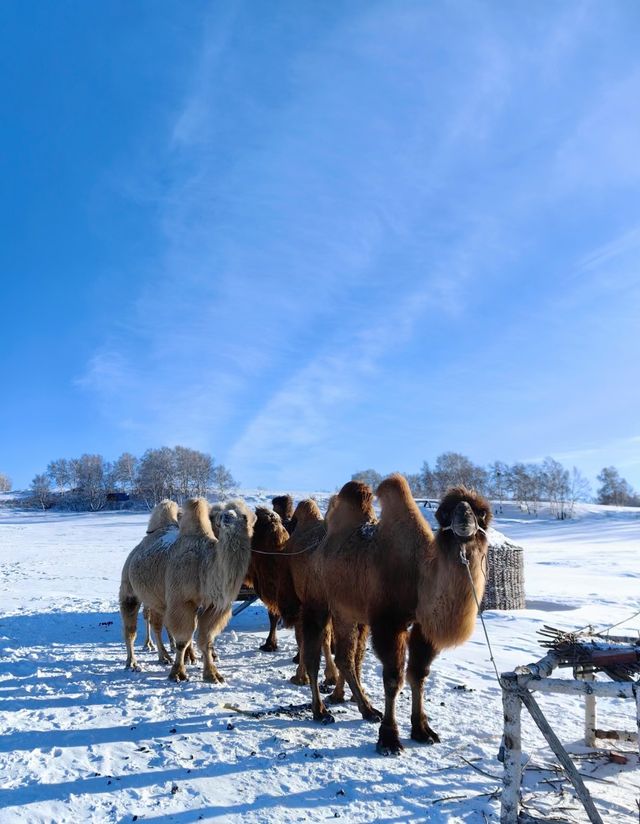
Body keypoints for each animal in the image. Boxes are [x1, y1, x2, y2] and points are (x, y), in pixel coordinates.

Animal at [302, 476, 492, 752]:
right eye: (444, 513)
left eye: (481, 512)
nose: (464, 517)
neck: (418, 575)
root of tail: (320, 546)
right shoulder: (388, 623)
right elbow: (393, 679)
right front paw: (389, 738)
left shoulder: (423, 627)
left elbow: (418, 674)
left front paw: (422, 730)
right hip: (317, 600)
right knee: (313, 656)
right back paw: (321, 711)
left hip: (348, 612)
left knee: (346, 659)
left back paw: (367, 709)